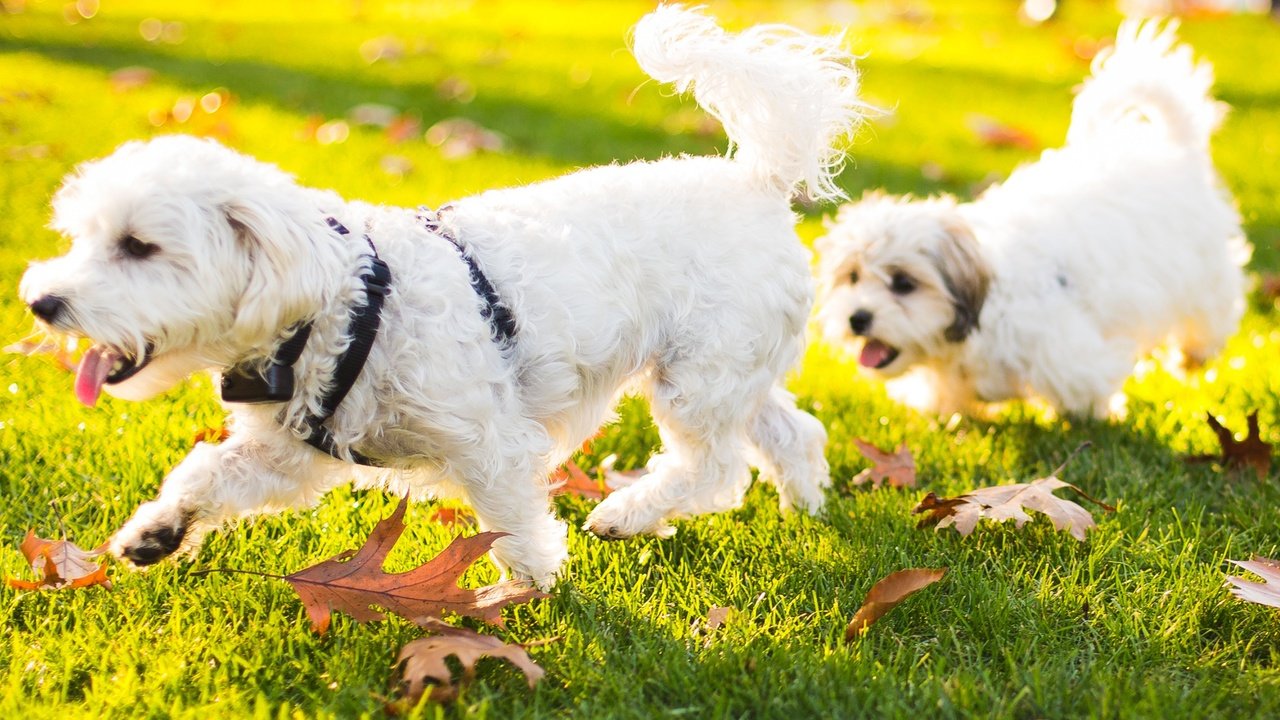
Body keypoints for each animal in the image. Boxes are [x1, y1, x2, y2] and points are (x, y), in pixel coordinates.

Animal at [15, 5, 860, 586]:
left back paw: (627, 514)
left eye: (138, 246)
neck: (338, 308)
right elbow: (208, 475)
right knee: (791, 432)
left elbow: (514, 528)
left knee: (714, 471)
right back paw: (805, 504)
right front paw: (158, 531)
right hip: (730, 368)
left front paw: (525, 595)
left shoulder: (492, 443)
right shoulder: (291, 452)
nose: (41, 303)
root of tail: (756, 180)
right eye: (80, 236)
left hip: (700, 374)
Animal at [819, 22, 1249, 417]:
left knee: (1212, 309)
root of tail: (1176, 150)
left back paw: (1197, 351)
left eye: (904, 284)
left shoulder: (1066, 351)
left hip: (1202, 273)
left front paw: (1096, 414)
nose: (858, 317)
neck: (989, 304)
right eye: (852, 278)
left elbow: (1086, 387)